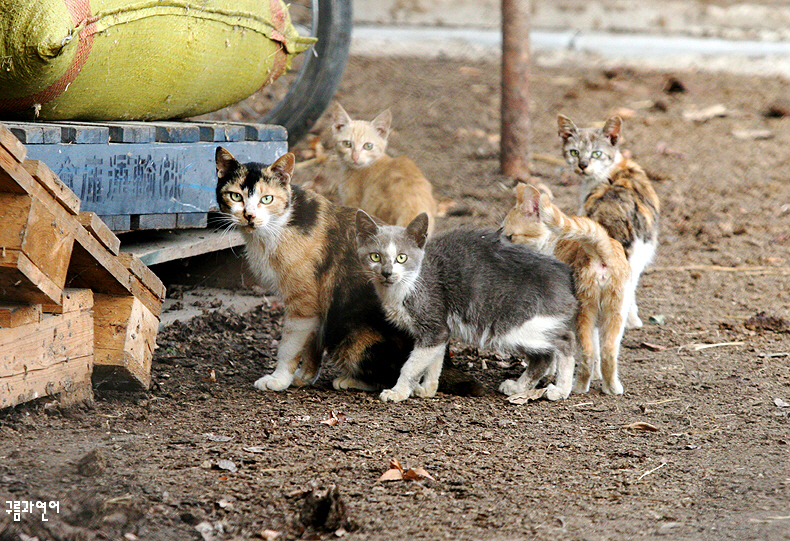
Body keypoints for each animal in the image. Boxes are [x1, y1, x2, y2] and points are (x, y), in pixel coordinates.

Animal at [213, 146, 482, 394]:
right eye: (235, 196)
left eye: (266, 199)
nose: (249, 215)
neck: (279, 225)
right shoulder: (318, 304)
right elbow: (312, 344)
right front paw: (304, 376)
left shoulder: (303, 303)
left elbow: (289, 345)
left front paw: (278, 379)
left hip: (352, 330)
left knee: (394, 376)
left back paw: (349, 381)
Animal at [356, 210, 580, 400]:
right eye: (375, 256)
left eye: (401, 258)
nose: (386, 273)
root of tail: (565, 271)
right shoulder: (441, 330)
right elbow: (434, 362)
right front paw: (428, 389)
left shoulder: (433, 325)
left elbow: (411, 365)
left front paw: (398, 392)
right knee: (543, 356)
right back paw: (518, 387)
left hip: (519, 325)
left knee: (565, 341)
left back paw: (561, 389)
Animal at [508, 184, 632, 394]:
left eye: (509, 235)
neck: (550, 243)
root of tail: (600, 248)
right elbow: (598, 352)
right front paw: (597, 377)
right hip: (616, 315)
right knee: (608, 352)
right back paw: (612, 388)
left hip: (583, 315)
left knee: (587, 353)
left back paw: (579, 386)